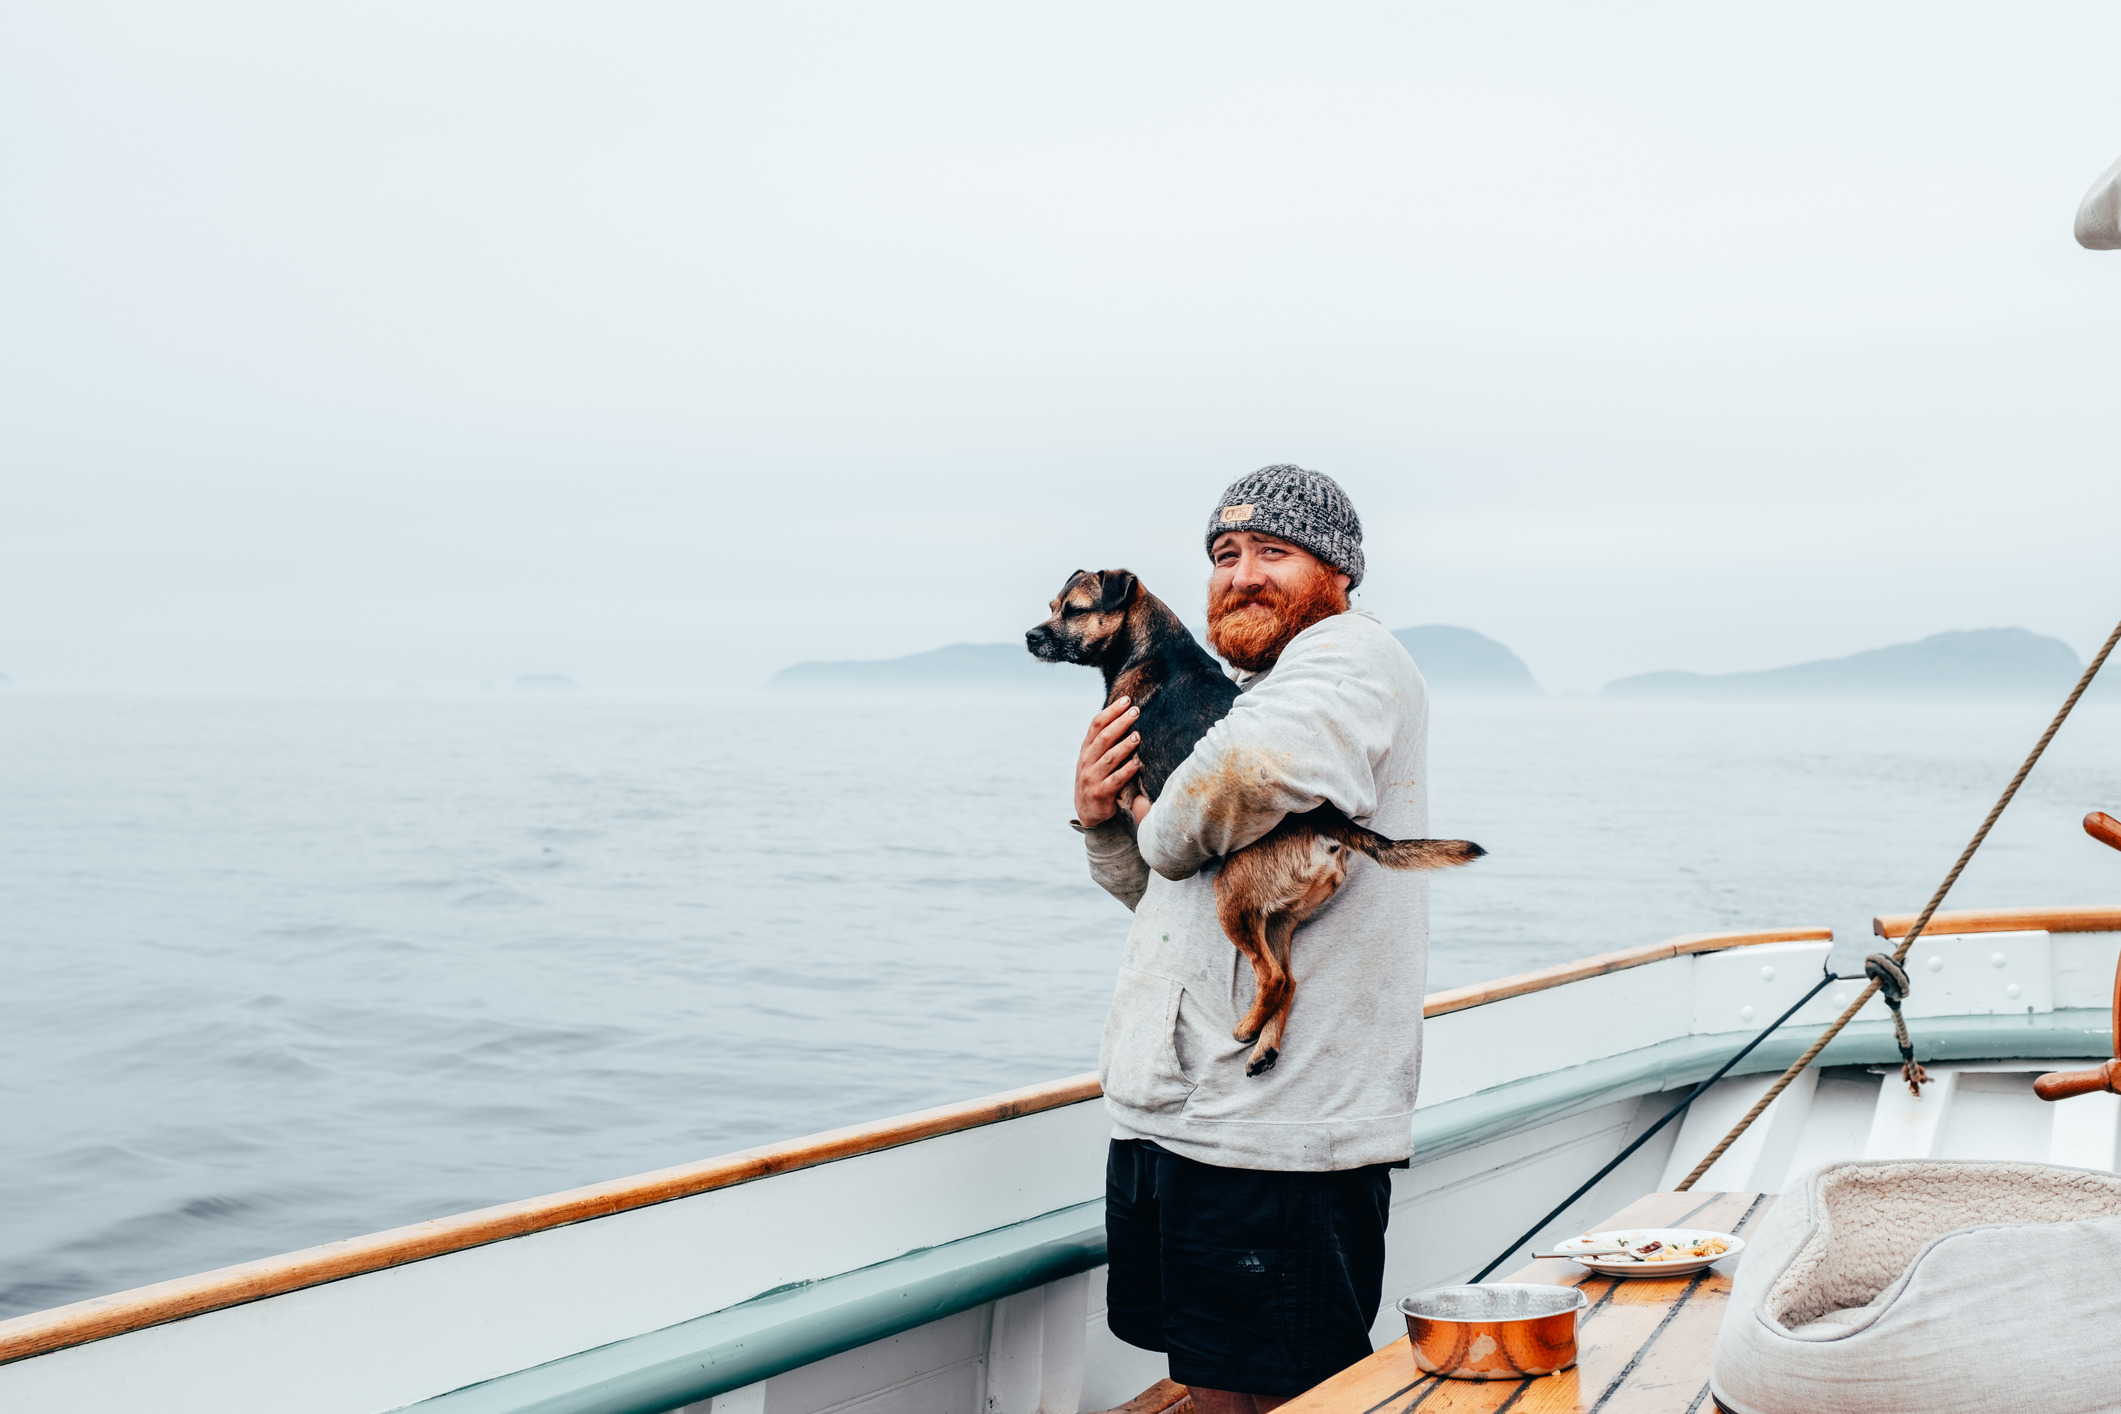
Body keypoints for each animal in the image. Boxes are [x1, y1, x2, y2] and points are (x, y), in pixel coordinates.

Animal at [1035, 568, 1484, 1076]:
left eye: (1074, 610)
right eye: (1052, 607)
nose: (1030, 636)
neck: (1149, 647)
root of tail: (1326, 820)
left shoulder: (1129, 782)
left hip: (1233, 897)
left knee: (1272, 978)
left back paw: (1248, 1029)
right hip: (1278, 918)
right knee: (1289, 980)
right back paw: (1265, 1047)